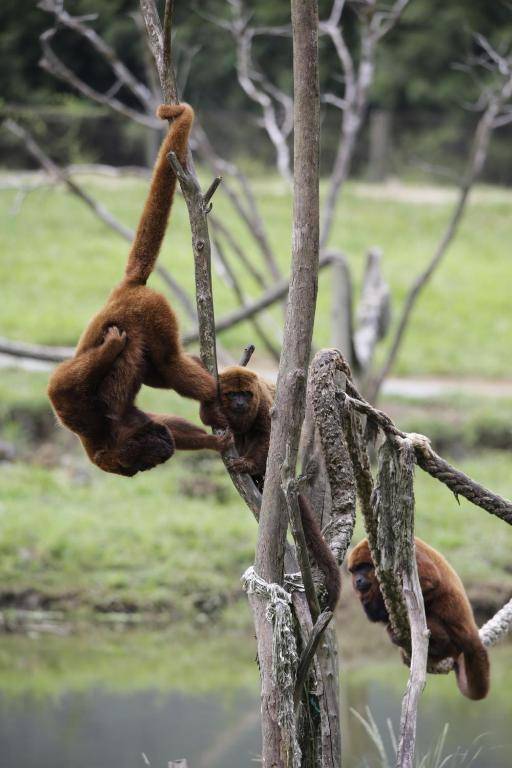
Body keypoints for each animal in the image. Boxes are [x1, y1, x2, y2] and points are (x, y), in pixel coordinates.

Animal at [48, 102, 230, 474]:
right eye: (142, 465)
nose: (158, 455)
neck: (103, 435)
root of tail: (125, 289)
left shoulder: (79, 413)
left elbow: (61, 384)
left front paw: (108, 350)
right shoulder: (122, 421)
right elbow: (161, 418)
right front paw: (211, 442)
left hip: (152, 310)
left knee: (169, 363)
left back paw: (212, 395)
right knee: (159, 372)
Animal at [348, 536, 488, 700]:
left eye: (363, 567)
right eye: (354, 571)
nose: (357, 580)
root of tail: (471, 632)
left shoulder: (410, 556)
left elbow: (431, 580)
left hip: (454, 640)